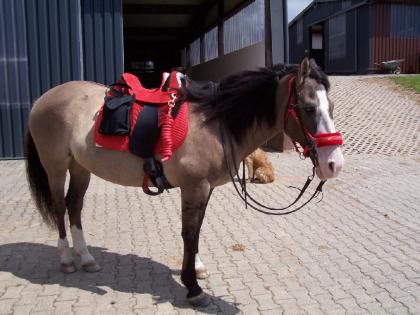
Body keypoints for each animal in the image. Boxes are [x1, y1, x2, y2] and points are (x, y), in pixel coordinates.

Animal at [23, 58, 344, 306]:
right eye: (308, 108)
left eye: (330, 107)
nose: (334, 164)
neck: (215, 123)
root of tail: (41, 100)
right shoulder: (194, 187)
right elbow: (189, 233)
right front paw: (193, 287)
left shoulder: (205, 189)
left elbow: (197, 230)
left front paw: (196, 268)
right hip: (56, 167)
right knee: (60, 207)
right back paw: (67, 259)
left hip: (80, 168)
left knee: (74, 205)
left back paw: (87, 257)